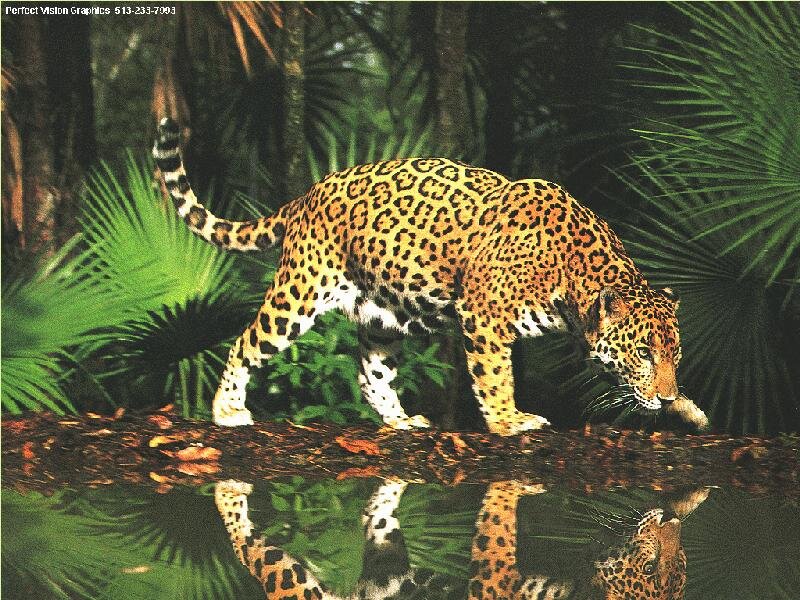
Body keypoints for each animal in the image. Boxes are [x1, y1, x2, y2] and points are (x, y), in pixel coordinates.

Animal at [153, 117, 708, 435]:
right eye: (644, 353)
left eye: (674, 356)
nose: (665, 395)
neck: (571, 278)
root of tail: (309, 193)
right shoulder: (484, 318)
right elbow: (496, 376)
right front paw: (509, 420)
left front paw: (687, 409)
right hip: (299, 294)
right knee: (245, 342)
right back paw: (227, 409)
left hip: (381, 315)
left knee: (370, 373)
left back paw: (400, 421)